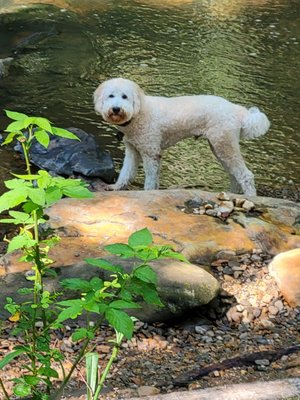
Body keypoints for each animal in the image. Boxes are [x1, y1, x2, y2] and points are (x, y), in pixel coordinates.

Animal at [94, 77, 270, 196]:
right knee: (234, 175)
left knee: (245, 175)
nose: (116, 109)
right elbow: (126, 172)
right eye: (111, 96)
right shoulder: (133, 150)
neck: (138, 113)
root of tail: (237, 110)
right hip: (220, 146)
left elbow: (150, 179)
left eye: (124, 96)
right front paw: (116, 187)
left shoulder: (151, 152)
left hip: (224, 144)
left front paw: (148, 194)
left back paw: (251, 198)